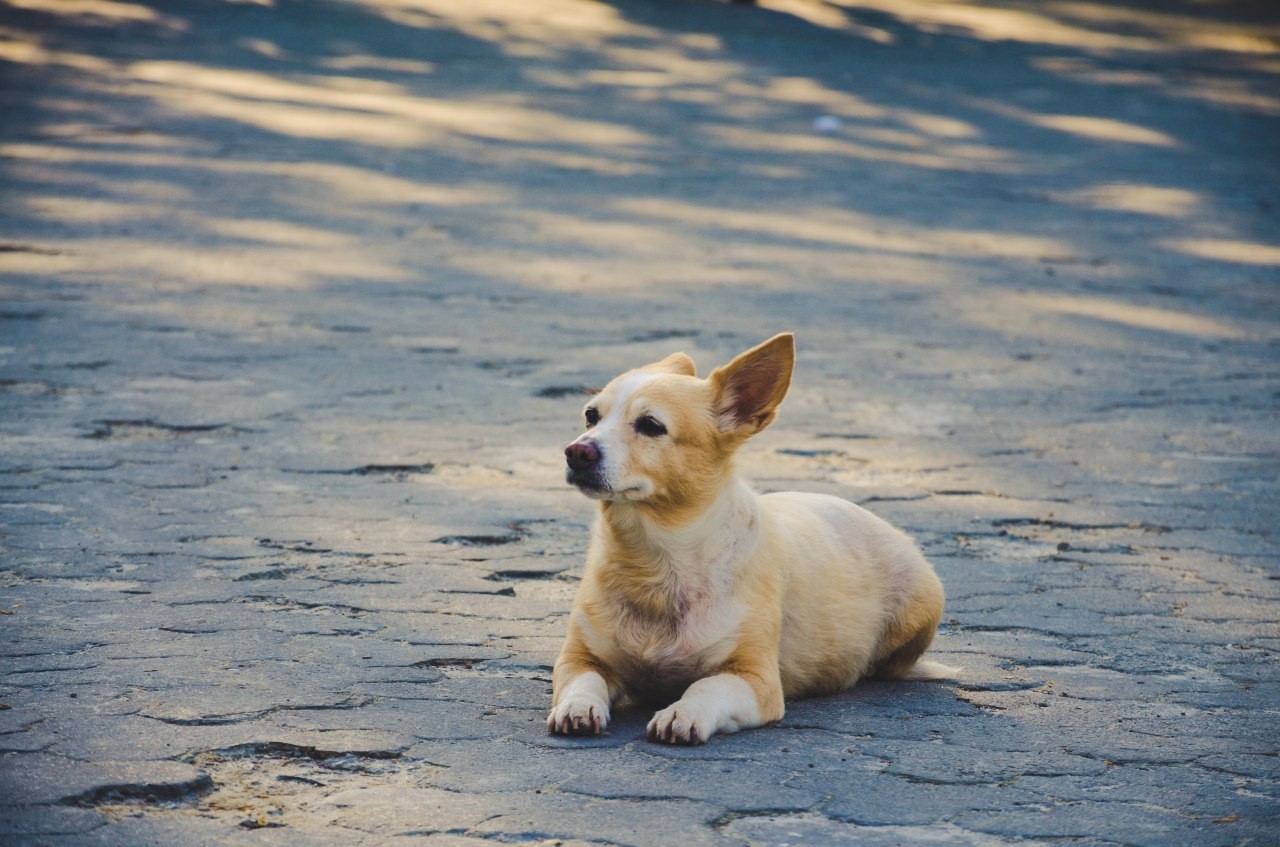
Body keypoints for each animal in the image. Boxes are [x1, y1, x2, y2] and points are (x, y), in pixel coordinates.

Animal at [545, 335, 957, 747]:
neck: (655, 561)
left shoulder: (755, 679)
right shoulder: (578, 660)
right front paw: (577, 706)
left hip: (923, 605)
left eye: (650, 425)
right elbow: (584, 682)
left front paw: (683, 712)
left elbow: (706, 686)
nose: (576, 451)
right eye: (591, 416)